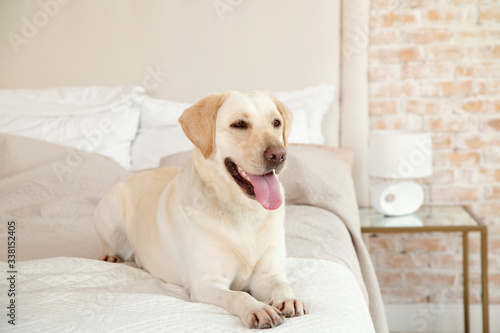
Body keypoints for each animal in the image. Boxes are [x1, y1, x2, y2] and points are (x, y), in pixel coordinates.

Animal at [94, 90, 304, 326]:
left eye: (276, 123)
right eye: (239, 124)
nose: (279, 154)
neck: (244, 212)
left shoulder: (267, 276)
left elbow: (281, 285)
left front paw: (288, 299)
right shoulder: (206, 283)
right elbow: (239, 295)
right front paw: (257, 308)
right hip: (109, 209)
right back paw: (110, 257)